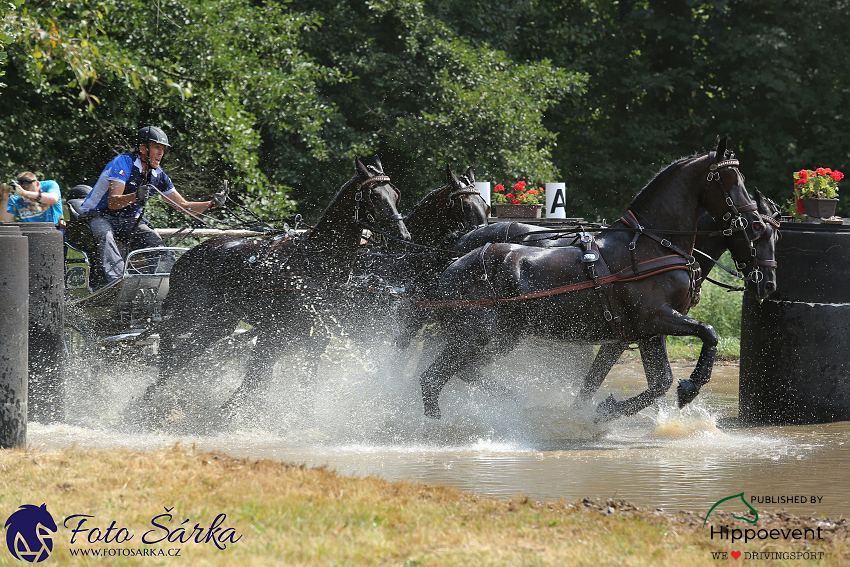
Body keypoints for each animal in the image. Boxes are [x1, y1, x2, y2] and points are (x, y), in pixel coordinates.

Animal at [144, 158, 410, 414]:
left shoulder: (314, 338)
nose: (404, 238)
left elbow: (296, 383)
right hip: (189, 313)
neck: (315, 263)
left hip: (220, 321)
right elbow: (255, 378)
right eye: (375, 196)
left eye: (396, 196)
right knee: (168, 340)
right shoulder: (274, 333)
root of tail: (189, 254)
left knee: (182, 353)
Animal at [414, 138, 760, 422]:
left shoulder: (648, 331)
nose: (754, 222)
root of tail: (454, 264)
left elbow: (660, 381)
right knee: (434, 378)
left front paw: (608, 410)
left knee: (457, 373)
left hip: (499, 337)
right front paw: (690, 387)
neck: (651, 245)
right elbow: (709, 333)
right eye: (730, 180)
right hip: (476, 336)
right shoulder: (656, 317)